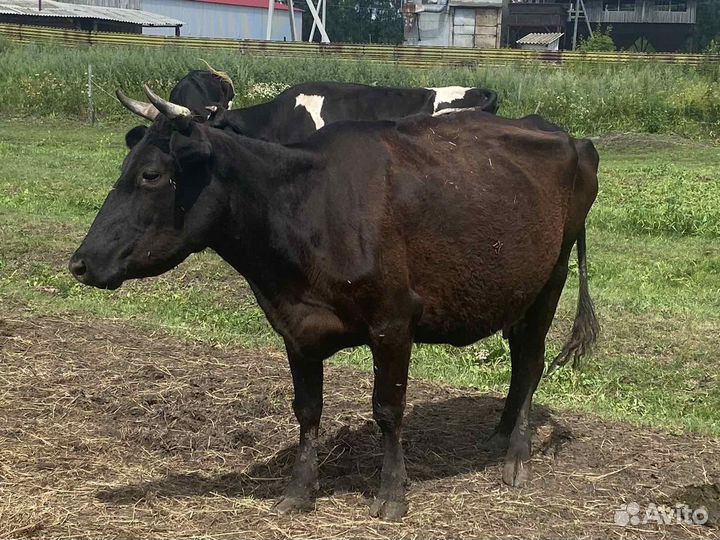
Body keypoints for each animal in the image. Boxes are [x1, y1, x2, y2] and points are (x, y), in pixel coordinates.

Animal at [69, 85, 599, 521]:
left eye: (152, 175)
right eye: (125, 168)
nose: (80, 262)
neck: (308, 205)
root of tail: (567, 135)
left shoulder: (394, 319)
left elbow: (388, 409)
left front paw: (391, 495)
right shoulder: (295, 327)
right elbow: (307, 410)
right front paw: (299, 491)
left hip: (551, 279)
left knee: (530, 364)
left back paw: (516, 458)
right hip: (514, 288)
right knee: (518, 360)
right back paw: (499, 434)